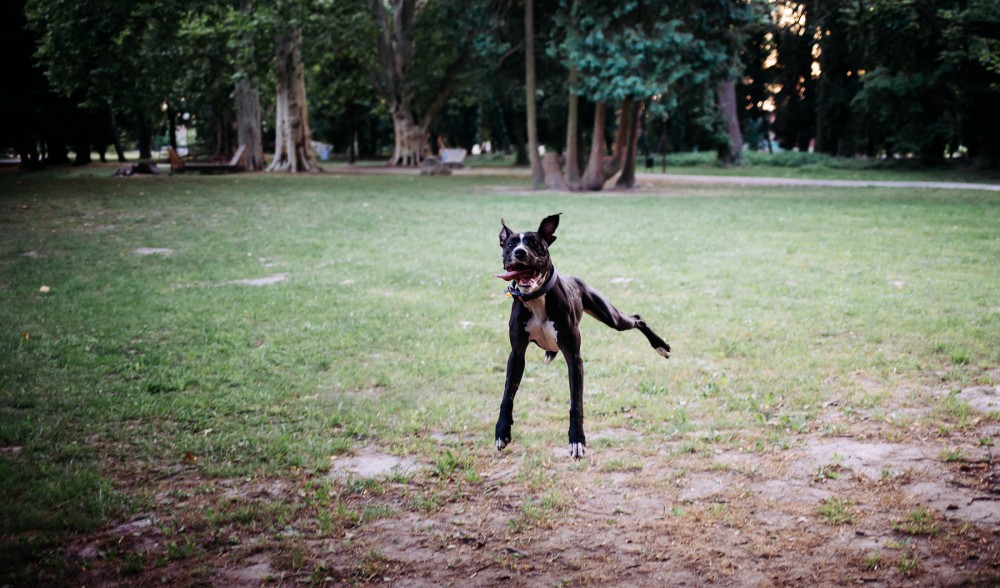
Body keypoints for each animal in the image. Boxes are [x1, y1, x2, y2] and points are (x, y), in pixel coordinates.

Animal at [494, 214, 672, 458]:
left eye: (534, 243)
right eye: (510, 244)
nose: (520, 252)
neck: (536, 298)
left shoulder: (574, 357)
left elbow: (576, 402)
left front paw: (577, 440)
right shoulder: (517, 354)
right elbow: (507, 396)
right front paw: (502, 431)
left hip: (611, 317)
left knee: (637, 319)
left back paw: (660, 345)